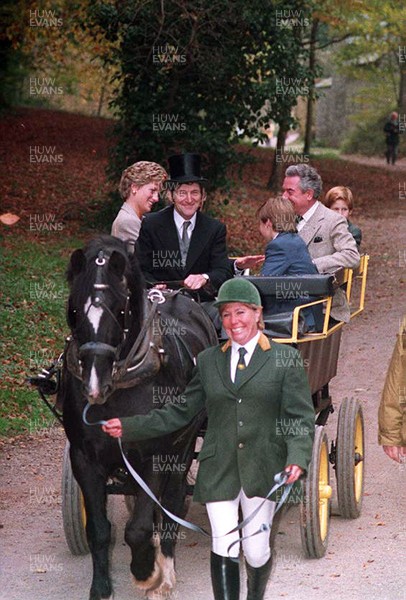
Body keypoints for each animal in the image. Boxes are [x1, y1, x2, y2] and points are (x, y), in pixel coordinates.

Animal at [58, 236, 217, 600]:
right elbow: (100, 529)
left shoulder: (153, 456)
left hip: (181, 448)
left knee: (172, 500)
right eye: (73, 310)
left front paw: (147, 573)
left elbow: (139, 529)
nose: (94, 385)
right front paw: (102, 588)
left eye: (120, 310)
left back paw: (166, 571)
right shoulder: (84, 458)